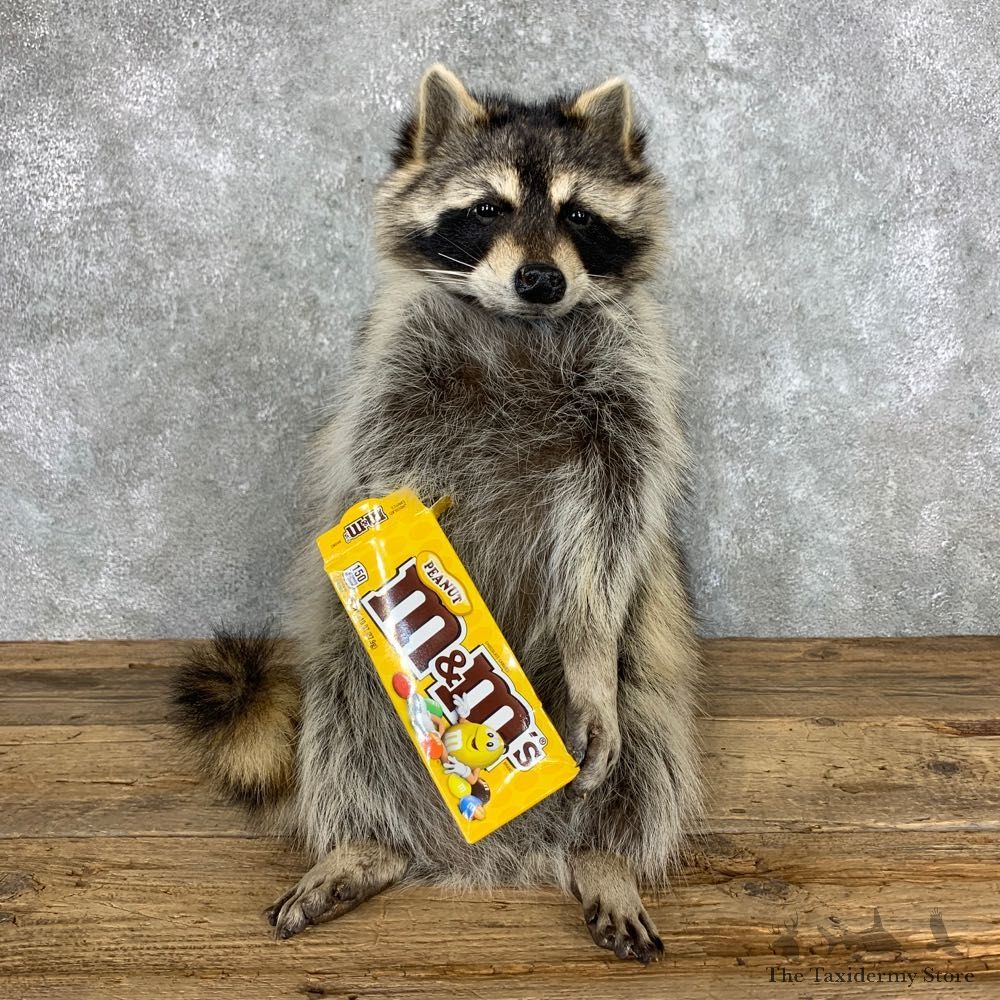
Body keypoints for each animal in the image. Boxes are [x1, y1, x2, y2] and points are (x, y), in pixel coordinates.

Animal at [172, 65, 702, 964]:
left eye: (578, 216)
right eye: (487, 209)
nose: (541, 280)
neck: (519, 324)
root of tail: (496, 853)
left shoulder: (625, 389)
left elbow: (615, 519)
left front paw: (587, 645)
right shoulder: (397, 371)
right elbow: (379, 477)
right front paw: (415, 588)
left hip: (645, 678)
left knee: (648, 739)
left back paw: (604, 853)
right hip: (348, 685)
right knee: (344, 727)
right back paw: (369, 842)